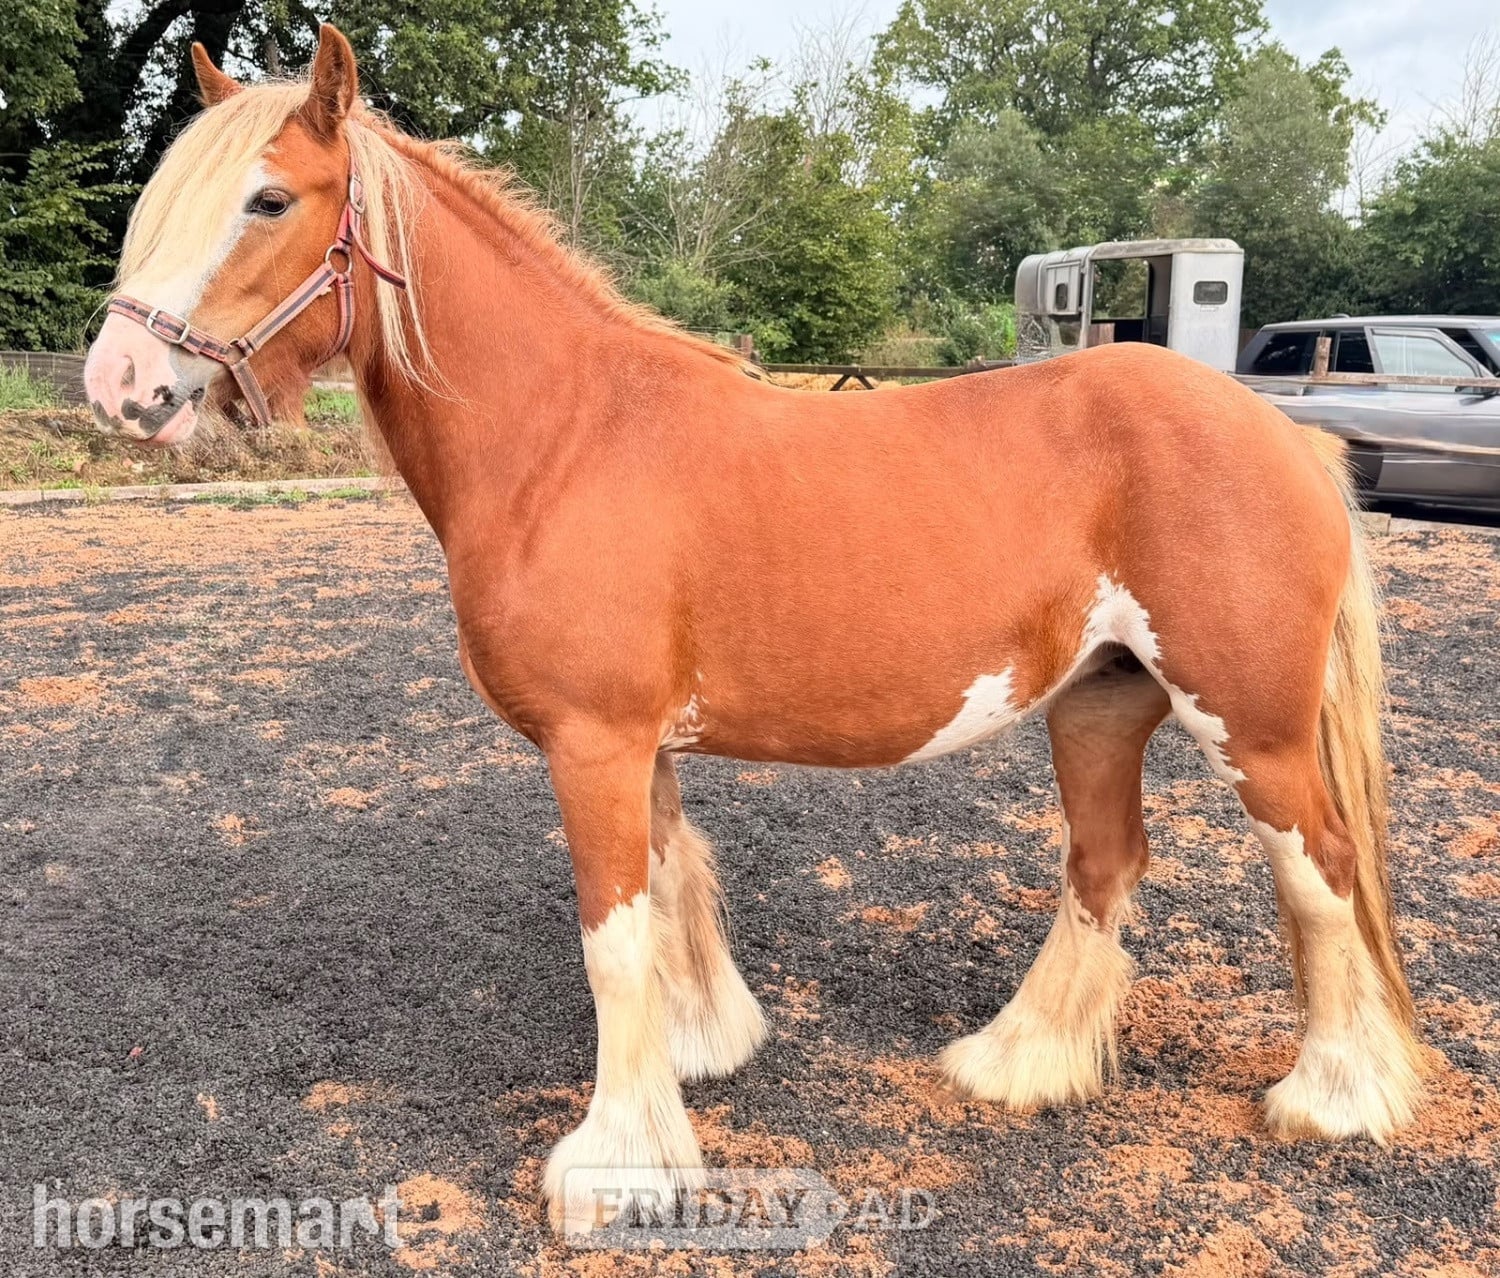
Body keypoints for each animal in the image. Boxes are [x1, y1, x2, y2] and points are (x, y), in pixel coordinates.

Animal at [83, 26, 1422, 1233]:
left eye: (267, 198)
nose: (118, 385)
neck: (564, 437)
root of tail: (1286, 434)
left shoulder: (595, 743)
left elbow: (613, 937)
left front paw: (617, 1167)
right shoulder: (639, 746)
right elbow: (675, 886)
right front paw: (699, 1054)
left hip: (1248, 724)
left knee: (1320, 871)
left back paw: (1333, 1096)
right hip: (1100, 701)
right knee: (1104, 866)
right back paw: (1020, 1061)